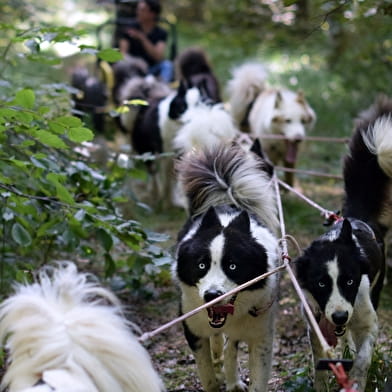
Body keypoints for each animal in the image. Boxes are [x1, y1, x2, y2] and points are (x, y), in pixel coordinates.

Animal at [173, 141, 280, 392]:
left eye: (233, 266)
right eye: (201, 265)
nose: (212, 296)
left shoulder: (261, 335)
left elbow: (257, 378)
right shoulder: (193, 327)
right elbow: (207, 375)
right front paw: (216, 375)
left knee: (230, 346)